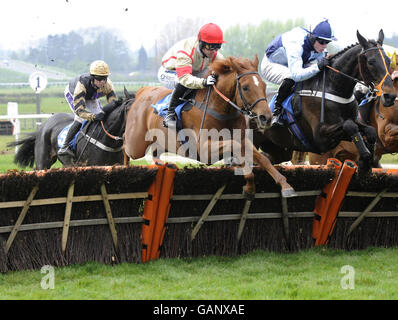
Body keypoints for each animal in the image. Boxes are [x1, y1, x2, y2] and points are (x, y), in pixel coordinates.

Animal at [123, 56, 296, 199]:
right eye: (246, 87)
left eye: (264, 85)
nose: (266, 117)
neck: (220, 109)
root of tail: (142, 92)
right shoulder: (203, 150)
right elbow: (235, 148)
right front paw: (249, 186)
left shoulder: (243, 140)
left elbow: (261, 158)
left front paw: (285, 185)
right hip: (136, 144)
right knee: (126, 145)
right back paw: (125, 166)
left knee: (155, 154)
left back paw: (166, 164)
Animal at [253, 29, 396, 175]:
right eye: (371, 62)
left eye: (389, 61)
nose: (390, 96)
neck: (334, 88)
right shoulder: (320, 138)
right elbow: (350, 126)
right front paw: (365, 156)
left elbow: (370, 131)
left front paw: (365, 163)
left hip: (279, 147)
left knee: (268, 158)